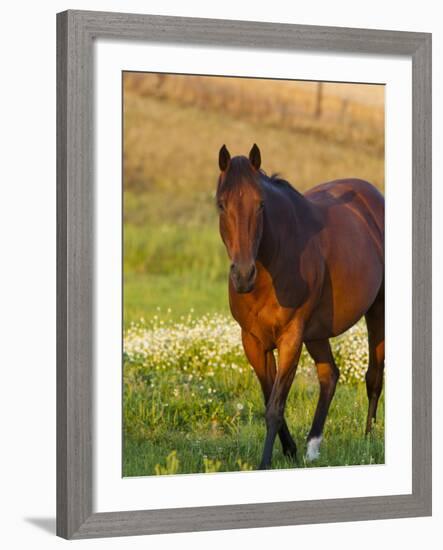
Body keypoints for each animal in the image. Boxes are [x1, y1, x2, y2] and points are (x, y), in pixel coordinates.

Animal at [217, 146, 384, 470]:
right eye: (221, 204)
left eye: (260, 204)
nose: (243, 275)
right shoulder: (253, 341)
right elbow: (269, 396)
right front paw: (291, 450)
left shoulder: (291, 337)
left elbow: (274, 406)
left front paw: (265, 463)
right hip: (316, 333)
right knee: (329, 375)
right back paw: (312, 447)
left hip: (377, 310)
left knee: (374, 375)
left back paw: (368, 440)